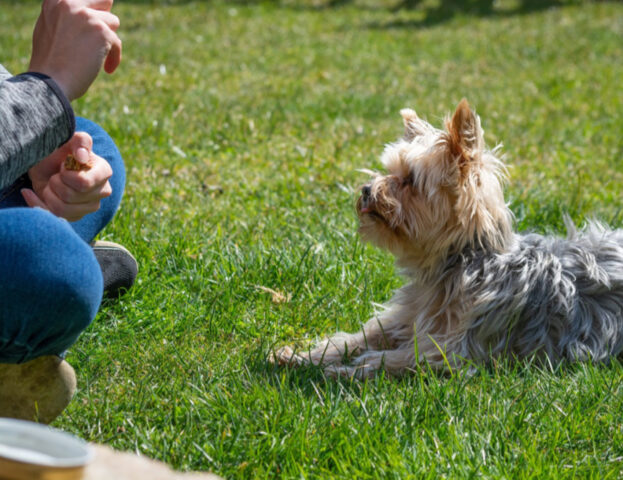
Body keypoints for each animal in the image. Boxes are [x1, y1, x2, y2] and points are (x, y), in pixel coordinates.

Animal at [276, 100, 623, 378]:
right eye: (388, 170)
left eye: (409, 180)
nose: (365, 190)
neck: (460, 261)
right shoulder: (406, 317)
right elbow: (360, 336)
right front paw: (303, 356)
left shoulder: (456, 348)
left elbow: (400, 358)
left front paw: (347, 369)